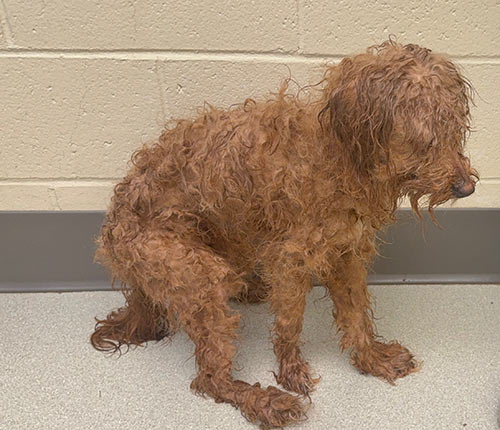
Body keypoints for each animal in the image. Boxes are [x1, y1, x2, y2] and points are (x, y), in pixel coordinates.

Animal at [91, 40, 478, 428]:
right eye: (424, 139)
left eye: (454, 128)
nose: (467, 187)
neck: (339, 155)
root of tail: (112, 238)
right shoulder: (289, 258)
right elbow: (290, 322)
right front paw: (291, 373)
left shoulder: (346, 252)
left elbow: (356, 315)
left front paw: (371, 359)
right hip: (196, 275)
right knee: (209, 379)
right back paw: (265, 401)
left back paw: (251, 290)